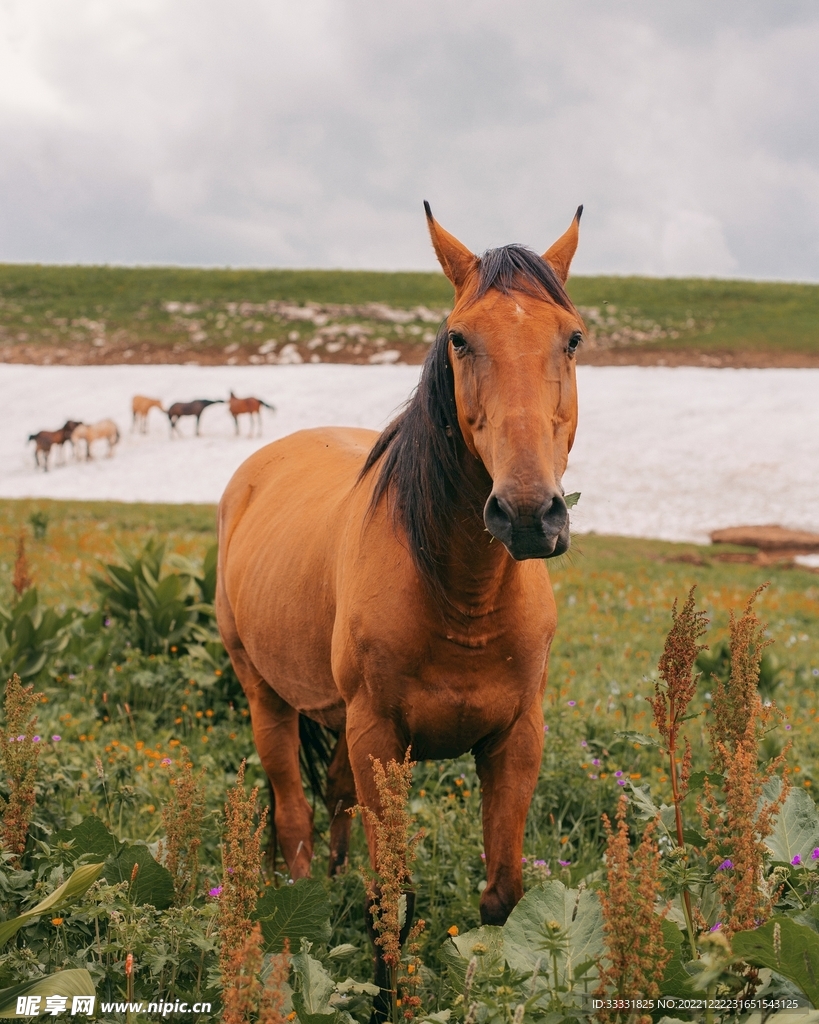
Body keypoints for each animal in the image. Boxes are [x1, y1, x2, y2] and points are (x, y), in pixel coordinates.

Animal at [216, 204, 584, 996]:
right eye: (459, 337)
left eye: (570, 338)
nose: (527, 514)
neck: (463, 600)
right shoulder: (380, 737)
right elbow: (393, 901)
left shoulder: (516, 740)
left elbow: (502, 895)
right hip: (266, 696)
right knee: (294, 820)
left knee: (332, 803)